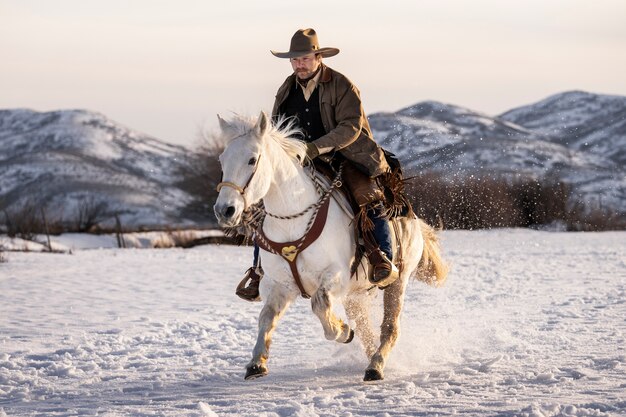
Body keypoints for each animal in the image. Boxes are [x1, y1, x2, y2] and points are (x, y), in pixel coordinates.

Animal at [212, 110, 446, 380]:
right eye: (222, 160)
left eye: (252, 160)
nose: (225, 210)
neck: (293, 221)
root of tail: (411, 216)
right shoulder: (279, 284)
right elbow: (266, 317)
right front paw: (256, 363)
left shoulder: (335, 276)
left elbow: (320, 305)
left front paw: (342, 331)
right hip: (356, 294)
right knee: (365, 328)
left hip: (398, 280)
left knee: (390, 327)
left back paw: (376, 366)